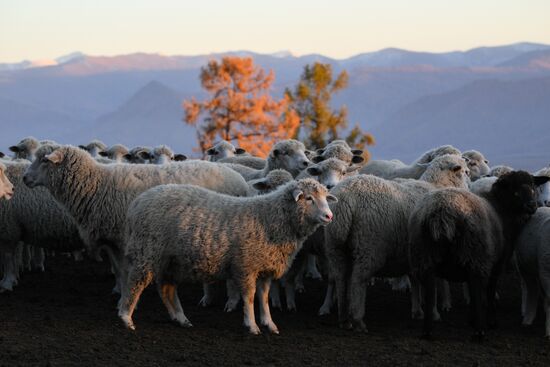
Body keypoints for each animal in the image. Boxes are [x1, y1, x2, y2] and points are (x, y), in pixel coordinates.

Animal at [22, 145, 251, 292]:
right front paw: (119, 290)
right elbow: (117, 270)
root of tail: (238, 178)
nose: (24, 178)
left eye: (44, 160)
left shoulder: (125, 238)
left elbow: (124, 271)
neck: (95, 185)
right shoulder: (112, 239)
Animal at [118, 180, 338, 334]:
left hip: (171, 260)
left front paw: (269, 323)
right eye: (309, 198)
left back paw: (181, 319)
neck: (270, 219)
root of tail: (137, 203)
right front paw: (252, 325)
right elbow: (249, 297)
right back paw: (126, 318)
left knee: (166, 289)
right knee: (134, 284)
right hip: (147, 252)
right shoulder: (246, 266)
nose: (329, 216)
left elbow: (264, 298)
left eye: (325, 197)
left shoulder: (265, 268)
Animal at [326, 154, 472, 332]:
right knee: (357, 280)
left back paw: (343, 318)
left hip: (336, 246)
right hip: (369, 247)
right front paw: (434, 313)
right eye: (466, 172)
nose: (470, 189)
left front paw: (417, 311)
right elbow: (431, 287)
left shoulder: (414, 255)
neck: (437, 186)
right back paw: (358, 320)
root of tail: (345, 201)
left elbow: (415, 281)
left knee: (340, 278)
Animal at [408, 171, 548, 340]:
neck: (500, 209)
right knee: (476, 287)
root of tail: (441, 213)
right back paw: (479, 332)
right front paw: (490, 321)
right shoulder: (496, 264)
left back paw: (427, 331)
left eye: (533, 186)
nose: (532, 206)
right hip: (475, 254)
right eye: (515, 190)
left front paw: (471, 319)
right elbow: (488, 291)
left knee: (430, 292)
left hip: (426, 256)